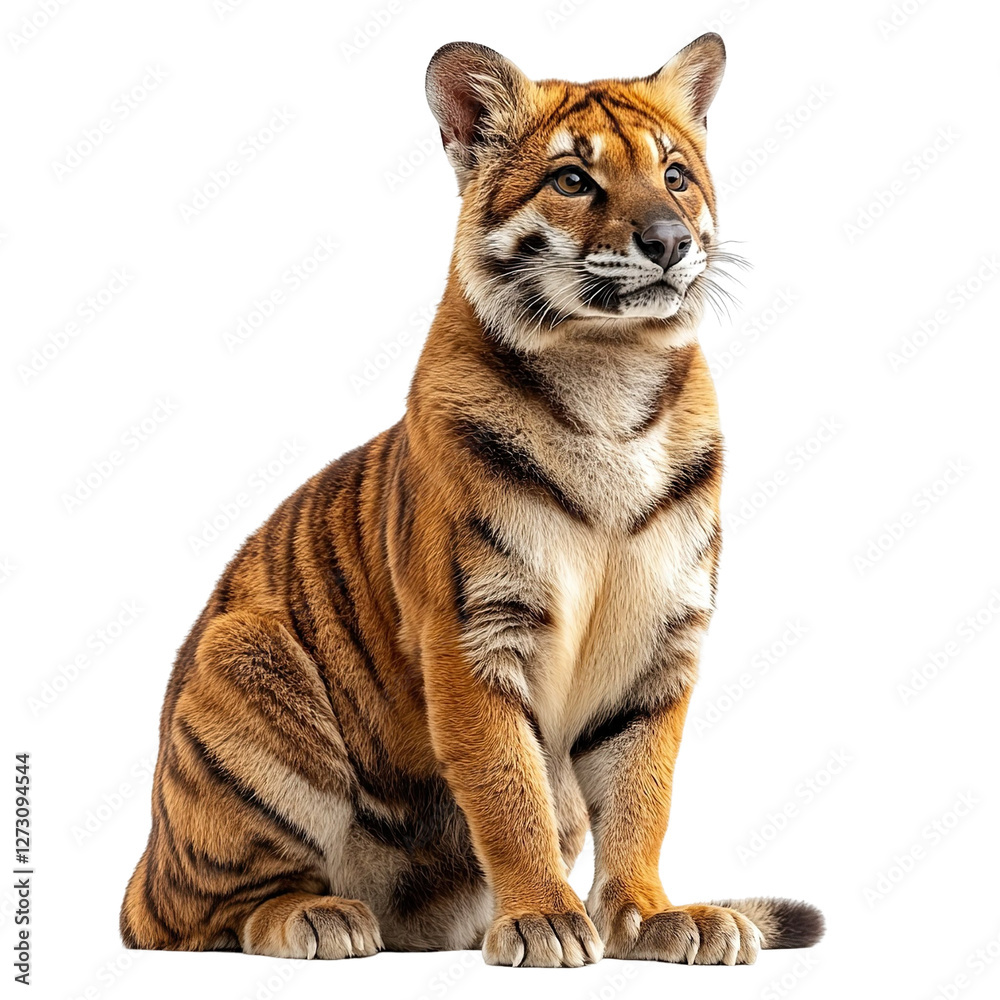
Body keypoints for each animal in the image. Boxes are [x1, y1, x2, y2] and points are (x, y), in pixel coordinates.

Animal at [120, 33, 824, 967]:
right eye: (574, 179)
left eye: (675, 175)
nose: (670, 241)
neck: (611, 378)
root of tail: (145, 859)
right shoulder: (474, 632)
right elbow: (507, 788)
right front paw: (545, 921)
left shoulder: (659, 642)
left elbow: (643, 795)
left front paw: (650, 917)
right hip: (245, 665)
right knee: (203, 916)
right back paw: (321, 917)